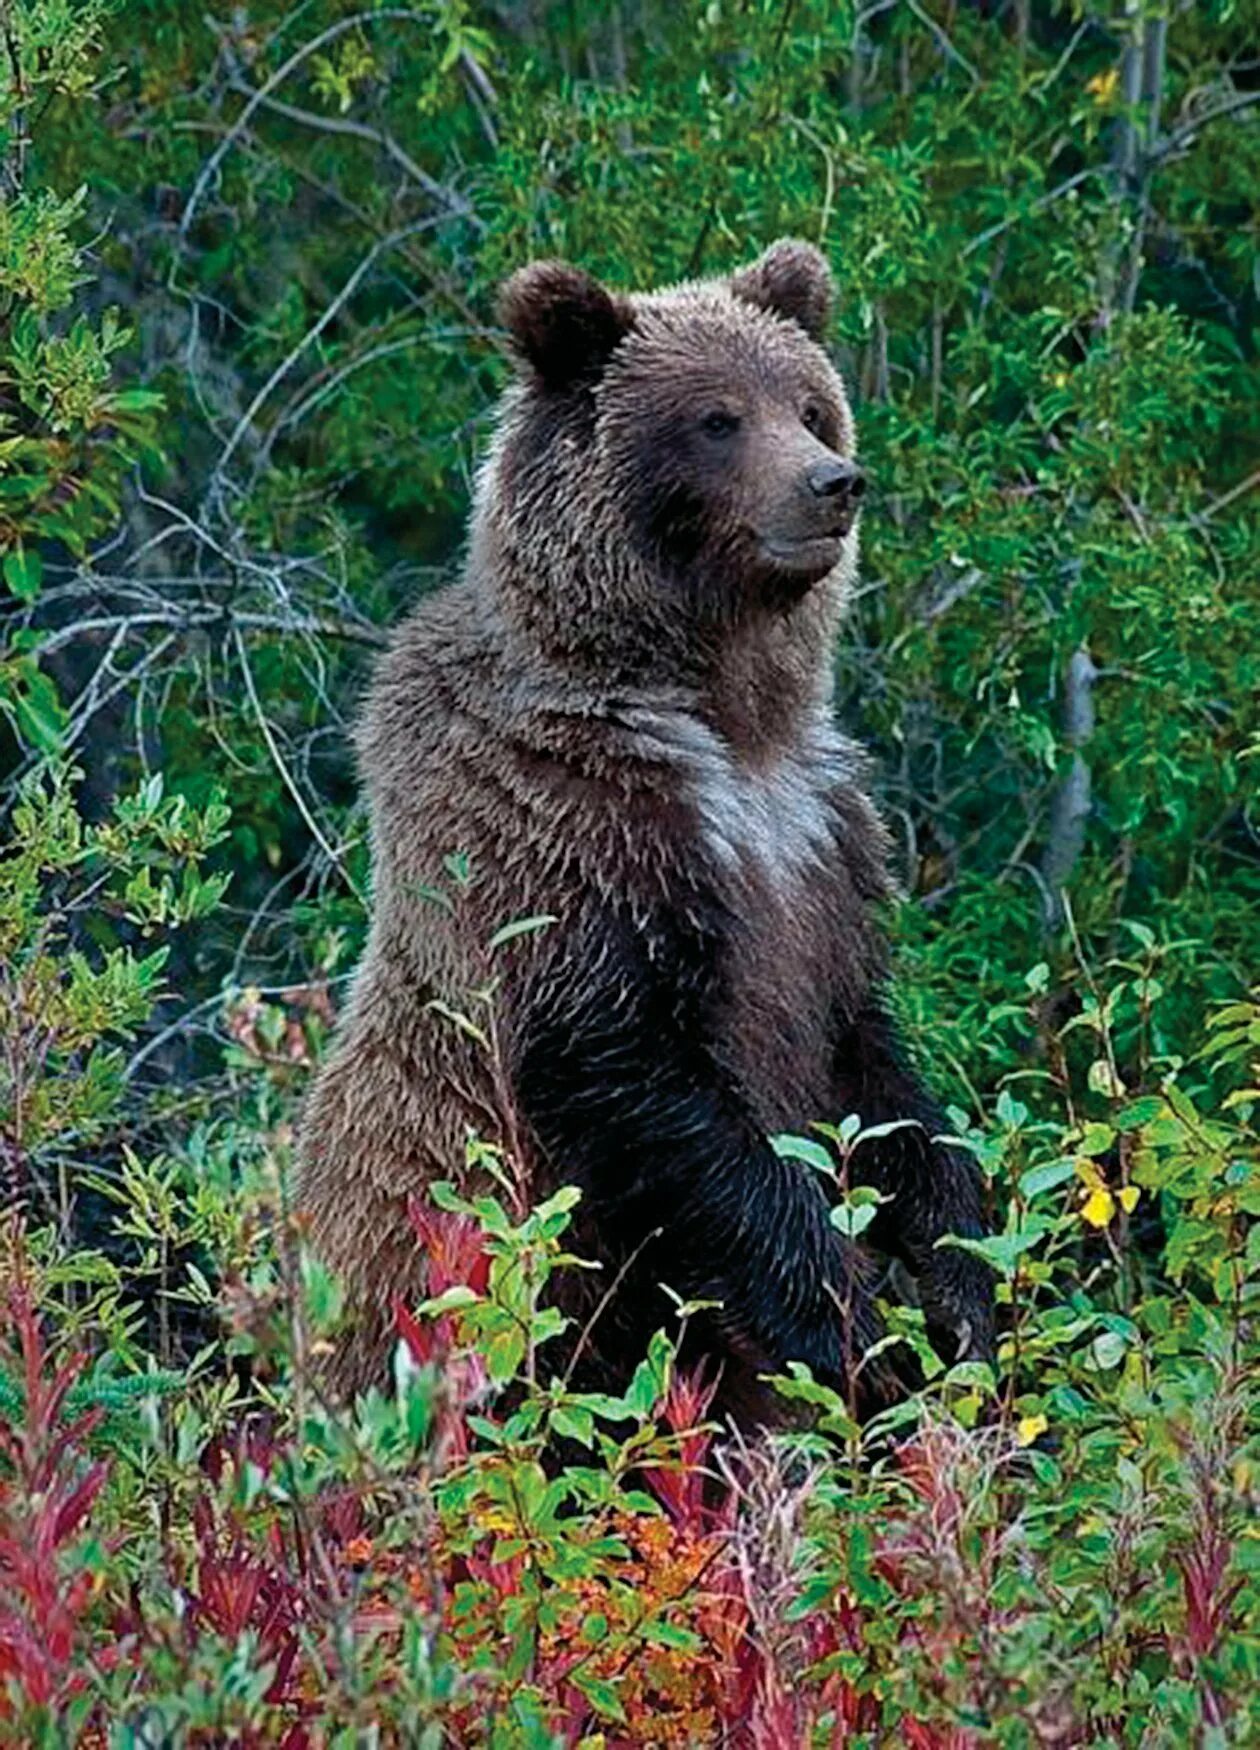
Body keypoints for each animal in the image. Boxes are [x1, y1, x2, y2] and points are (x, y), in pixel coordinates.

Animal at [297, 243, 994, 1421]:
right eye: (718, 418)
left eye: (812, 405)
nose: (833, 484)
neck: (719, 706)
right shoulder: (569, 828)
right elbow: (651, 1093)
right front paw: (853, 1329)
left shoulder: (822, 837)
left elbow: (872, 1072)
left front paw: (961, 1284)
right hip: (469, 1317)